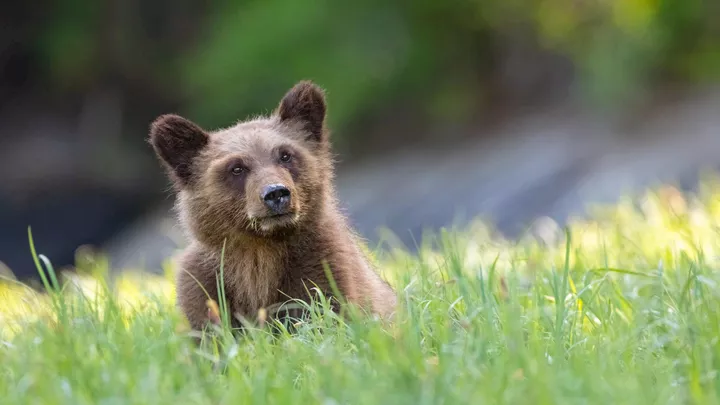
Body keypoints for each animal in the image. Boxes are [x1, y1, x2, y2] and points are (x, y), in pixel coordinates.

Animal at [149, 80, 397, 333]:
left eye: (285, 155)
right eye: (236, 168)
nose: (276, 193)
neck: (262, 249)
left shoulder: (323, 268)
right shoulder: (207, 288)